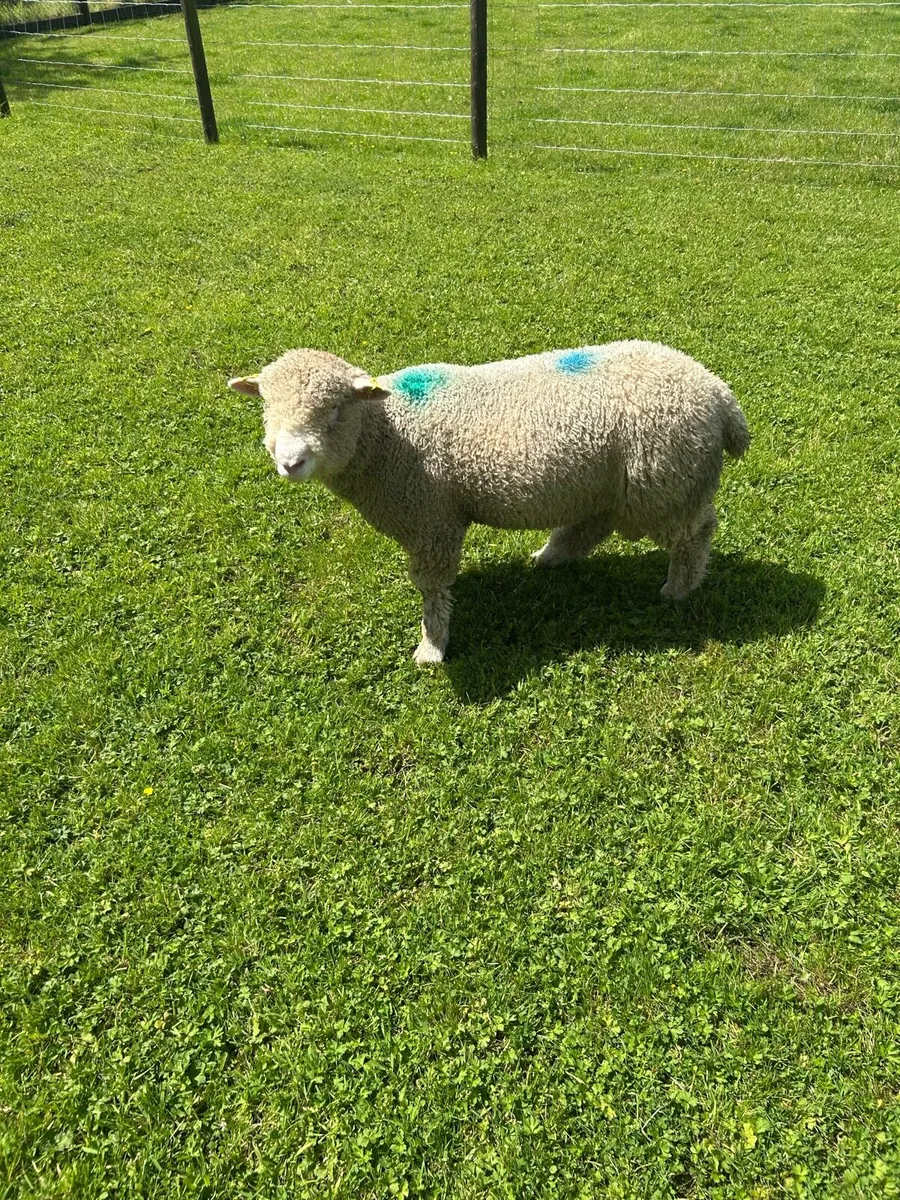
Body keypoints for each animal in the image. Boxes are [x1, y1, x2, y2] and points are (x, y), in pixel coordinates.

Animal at [228, 342, 750, 665]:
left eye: (335, 410)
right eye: (266, 406)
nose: (289, 462)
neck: (388, 434)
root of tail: (720, 395)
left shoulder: (433, 520)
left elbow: (432, 588)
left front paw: (432, 645)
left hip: (664, 485)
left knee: (695, 533)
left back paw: (677, 589)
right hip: (611, 485)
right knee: (591, 526)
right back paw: (550, 557)